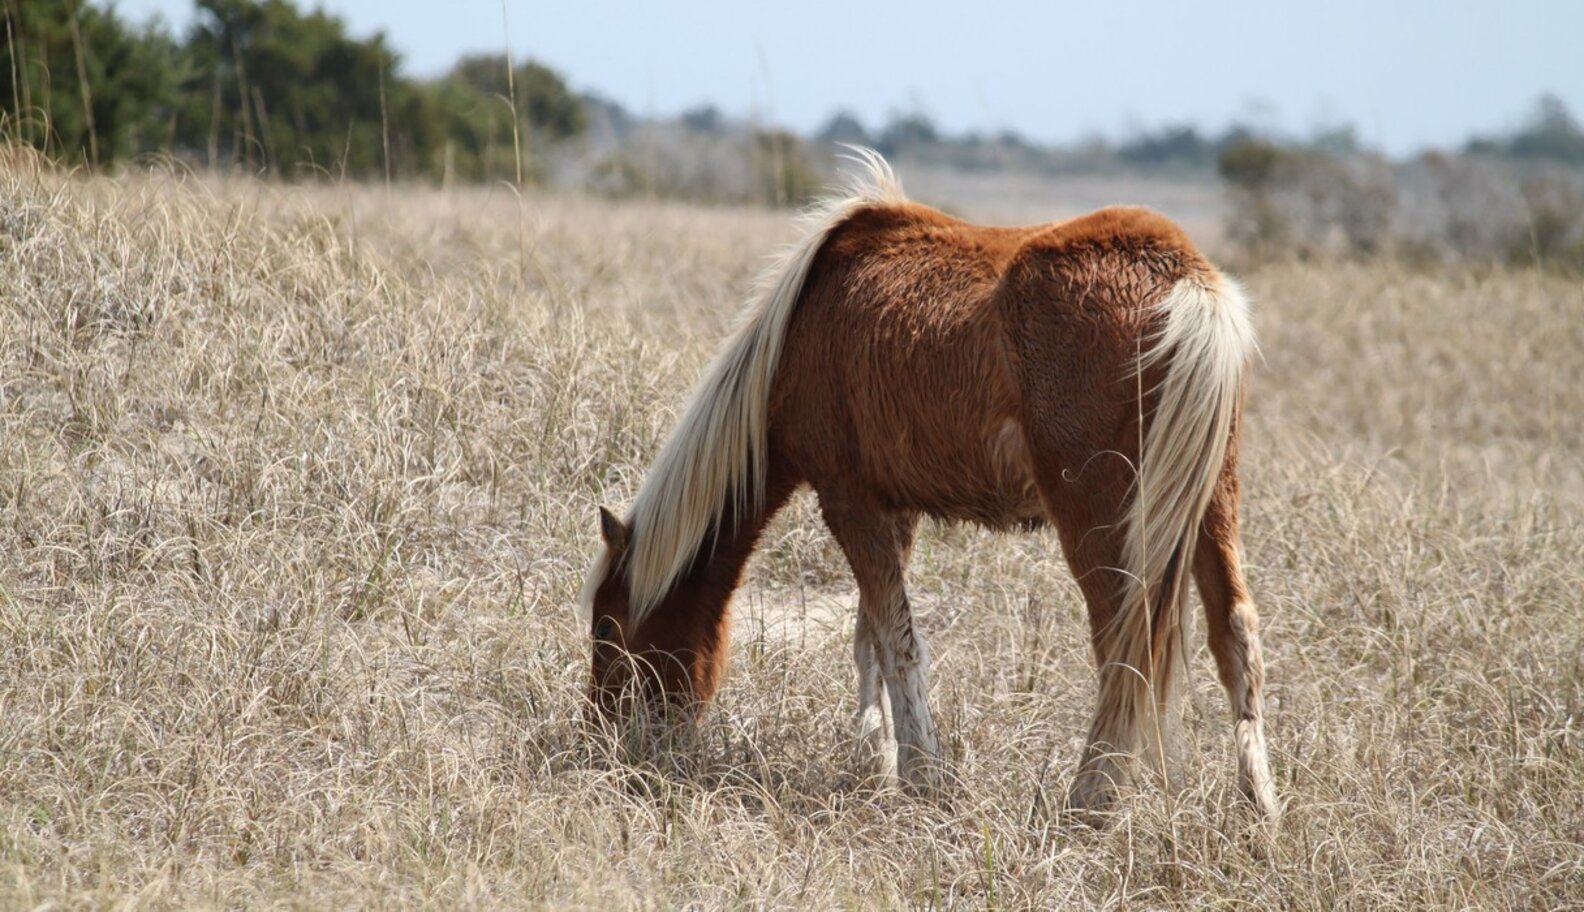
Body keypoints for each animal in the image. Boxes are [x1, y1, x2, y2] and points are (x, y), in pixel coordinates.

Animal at [580, 150, 1278, 823]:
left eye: (608, 629)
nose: (603, 739)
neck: (799, 330)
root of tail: (1187, 283)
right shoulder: (896, 509)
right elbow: (869, 638)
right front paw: (876, 762)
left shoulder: (849, 501)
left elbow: (897, 638)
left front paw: (922, 778)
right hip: (1212, 505)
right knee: (1235, 635)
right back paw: (1258, 810)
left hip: (1101, 521)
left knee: (1124, 651)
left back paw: (1089, 804)